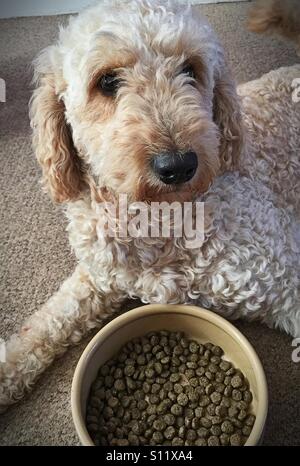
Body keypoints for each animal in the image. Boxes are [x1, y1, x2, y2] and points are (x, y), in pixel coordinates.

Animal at [0, 1, 300, 414]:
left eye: (190, 69)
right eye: (107, 81)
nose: (178, 165)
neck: (156, 222)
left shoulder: (281, 274)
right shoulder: (100, 275)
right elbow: (50, 321)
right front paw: (6, 371)